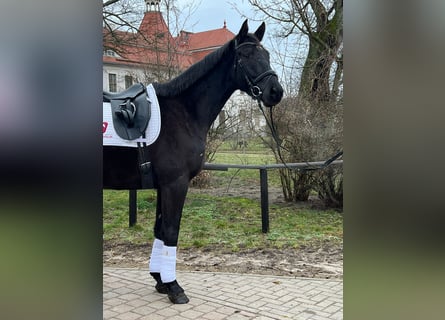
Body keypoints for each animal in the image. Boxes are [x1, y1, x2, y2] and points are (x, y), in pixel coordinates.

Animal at [103, 20, 280, 304]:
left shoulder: (163, 186)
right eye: (246, 55)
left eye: (267, 55)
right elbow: (171, 231)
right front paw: (174, 287)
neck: (182, 111)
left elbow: (160, 229)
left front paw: (160, 280)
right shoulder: (176, 184)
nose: (276, 91)